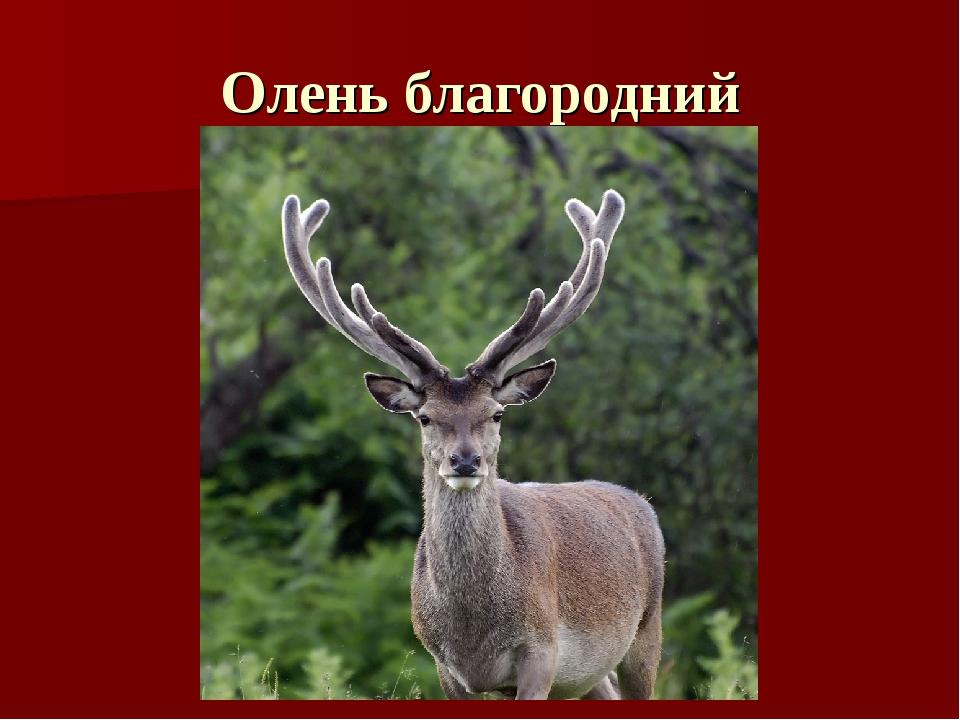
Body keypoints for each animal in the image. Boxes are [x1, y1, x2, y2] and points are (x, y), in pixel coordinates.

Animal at [282, 188, 665, 700]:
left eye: (496, 414)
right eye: (425, 417)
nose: (465, 460)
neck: (473, 627)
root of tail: (641, 503)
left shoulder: (541, 649)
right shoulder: (444, 664)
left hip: (646, 630)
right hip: (590, 673)